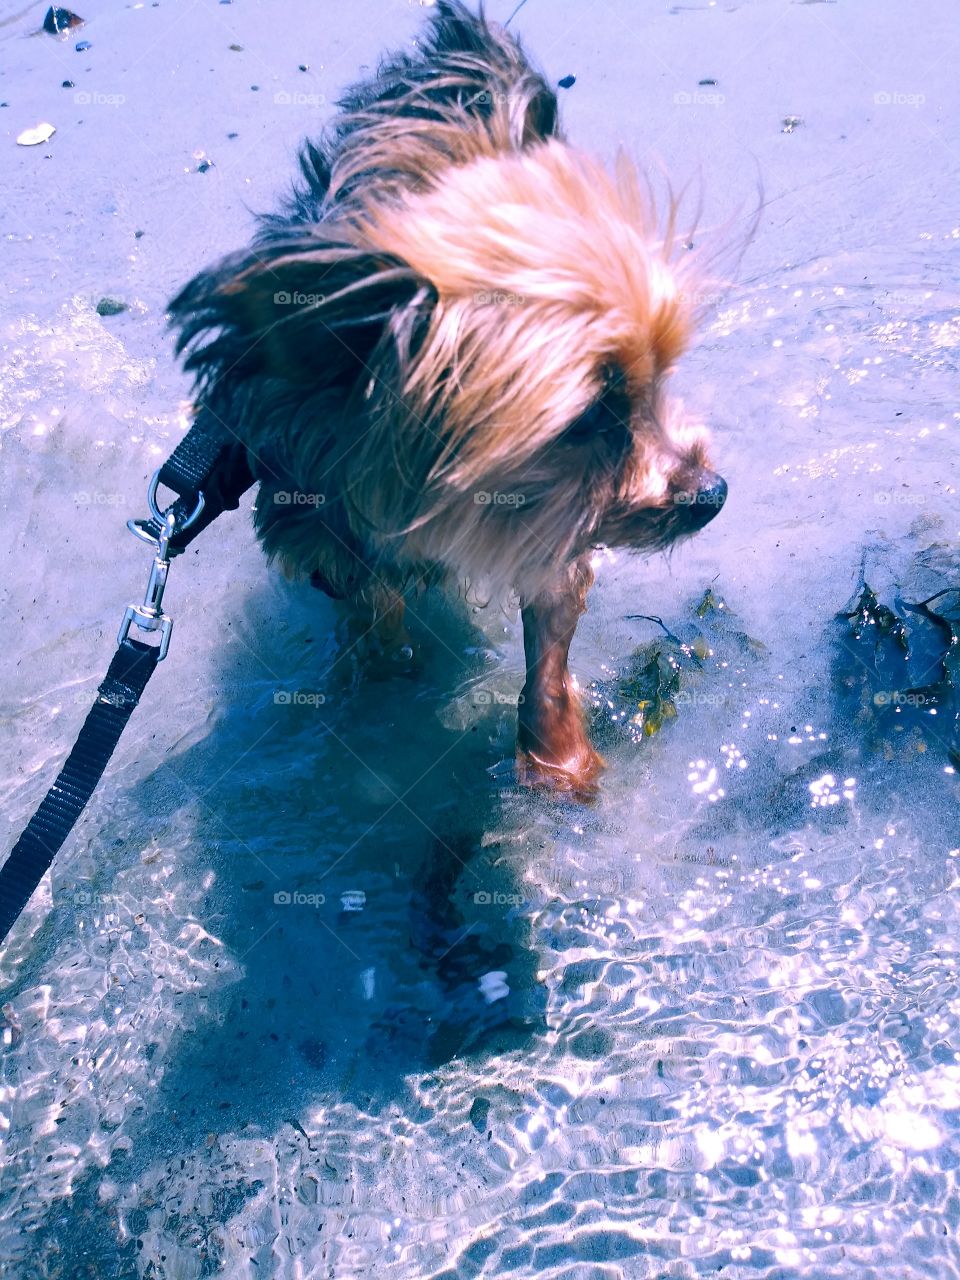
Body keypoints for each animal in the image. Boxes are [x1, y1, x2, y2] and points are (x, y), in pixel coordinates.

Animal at [171, 0, 727, 798]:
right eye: (590, 418)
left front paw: (557, 762)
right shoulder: (330, 522)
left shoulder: (553, 528)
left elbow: (548, 653)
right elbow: (373, 608)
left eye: (659, 380)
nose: (712, 493)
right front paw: (382, 682)